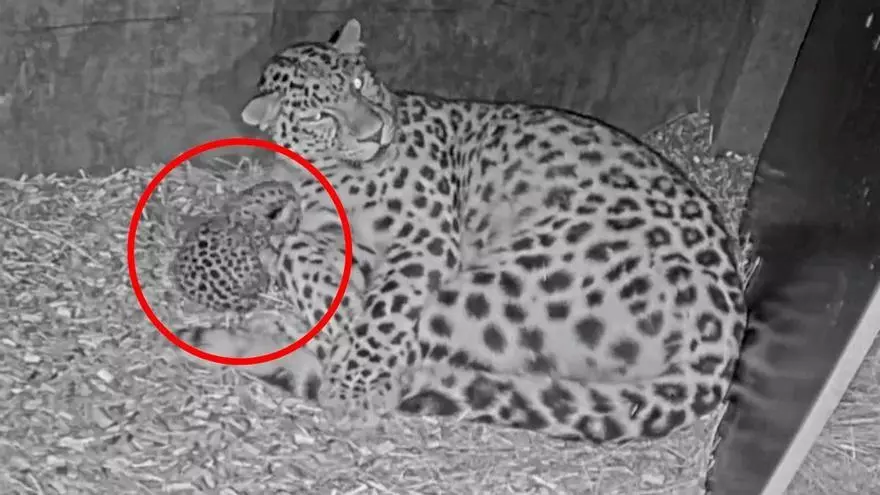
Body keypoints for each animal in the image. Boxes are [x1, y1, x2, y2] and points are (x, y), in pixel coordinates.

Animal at [182, 18, 747, 444]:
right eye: (322, 114)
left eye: (360, 84)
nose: (375, 134)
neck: (326, 172)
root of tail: (724, 338)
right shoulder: (353, 243)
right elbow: (305, 251)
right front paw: (323, 294)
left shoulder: (425, 237)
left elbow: (378, 309)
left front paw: (354, 382)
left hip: (503, 284)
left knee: (414, 346)